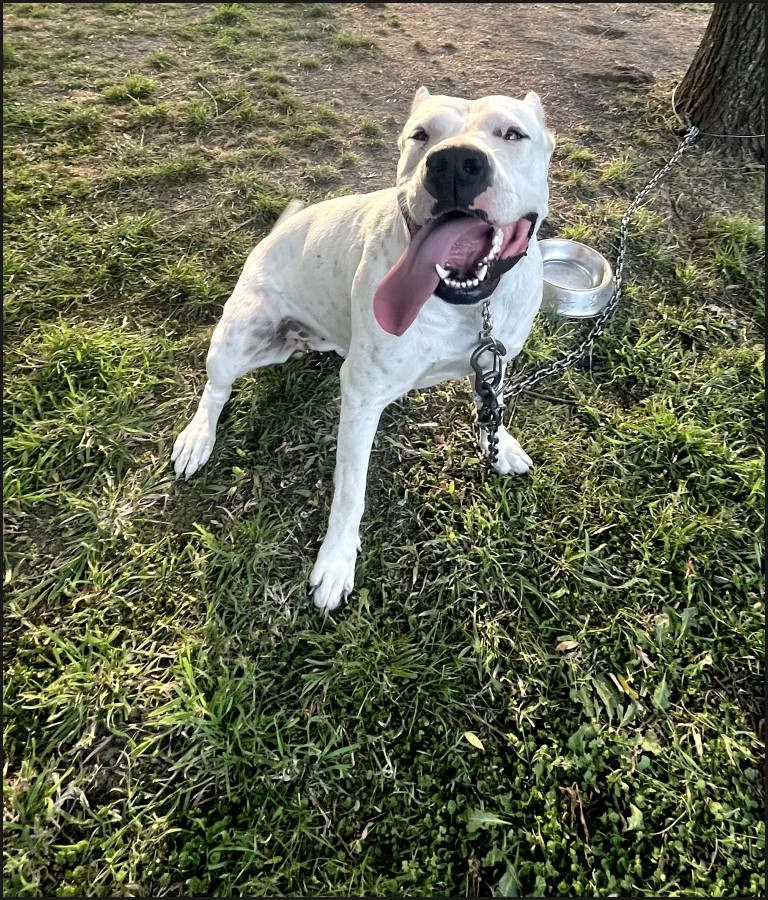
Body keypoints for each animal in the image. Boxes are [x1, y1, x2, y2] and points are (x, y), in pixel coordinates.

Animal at [172, 86, 556, 612]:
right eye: (420, 135)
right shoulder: (360, 398)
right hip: (237, 337)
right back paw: (197, 438)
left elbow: (490, 406)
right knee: (215, 390)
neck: (469, 306)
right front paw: (335, 563)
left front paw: (500, 447)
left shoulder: (493, 358)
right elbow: (350, 490)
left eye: (513, 134)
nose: (455, 163)